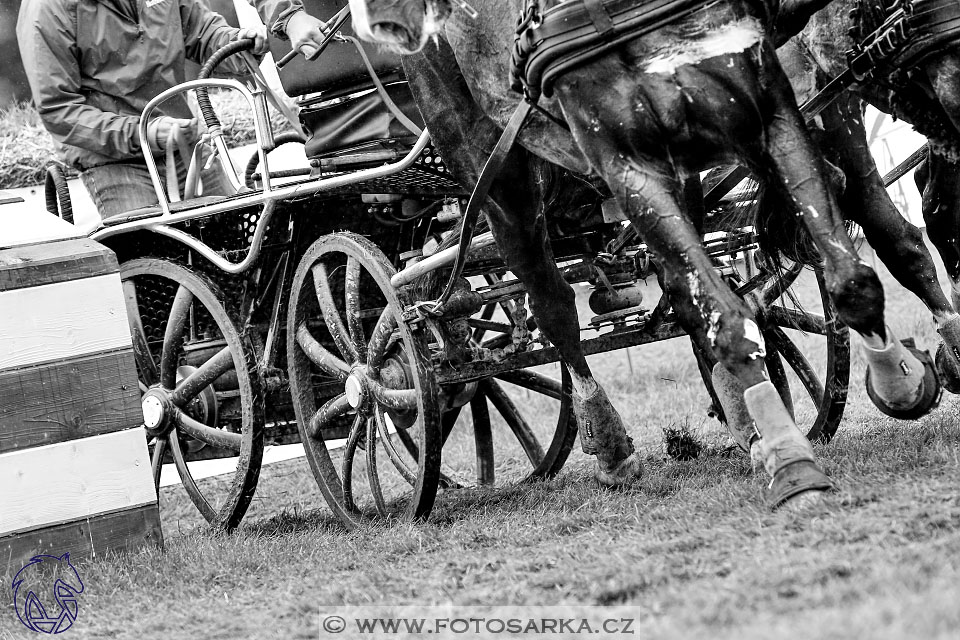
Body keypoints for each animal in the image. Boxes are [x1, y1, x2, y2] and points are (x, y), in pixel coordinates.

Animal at [344, 1, 936, 510]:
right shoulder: (628, 165)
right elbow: (731, 321)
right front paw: (794, 468)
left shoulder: (766, 111)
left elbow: (851, 278)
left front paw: (901, 381)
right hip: (493, 175)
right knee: (551, 301)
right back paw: (607, 440)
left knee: (682, 290)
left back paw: (740, 418)